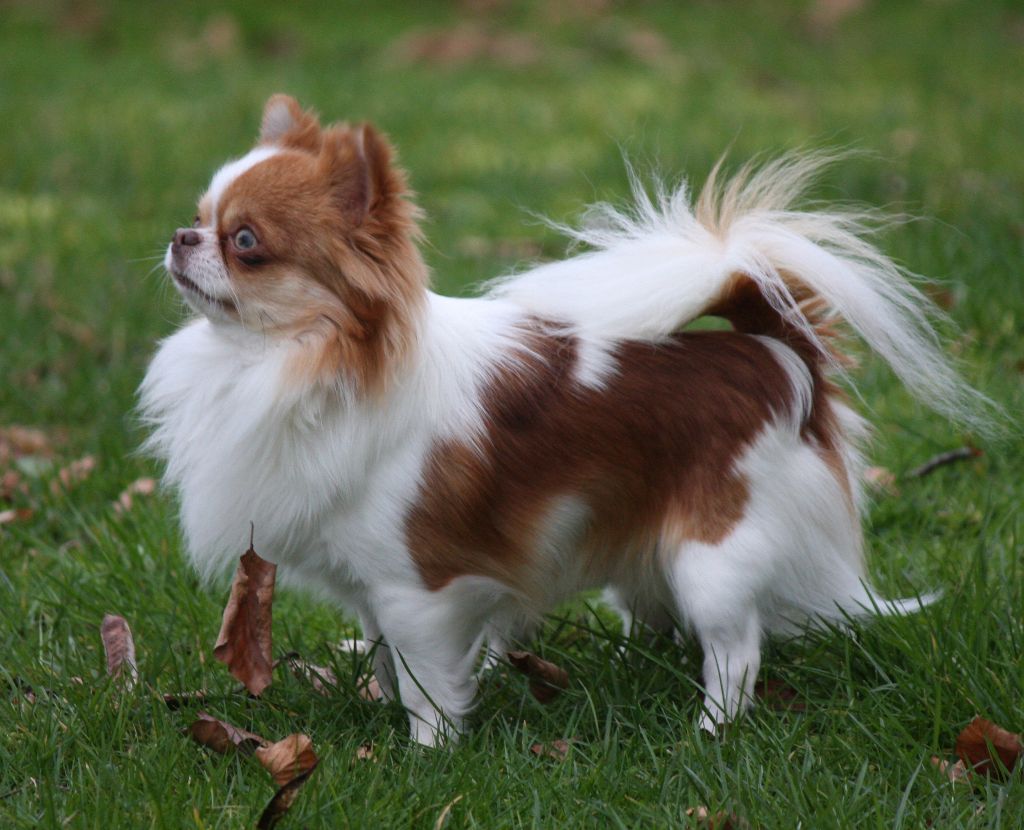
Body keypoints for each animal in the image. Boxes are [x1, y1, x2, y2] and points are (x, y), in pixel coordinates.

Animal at [138, 94, 983, 745]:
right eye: (198, 217)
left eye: (246, 242)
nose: (181, 237)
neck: (286, 363)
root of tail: (775, 355)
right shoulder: (373, 585)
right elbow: (385, 659)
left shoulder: (419, 588)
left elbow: (426, 682)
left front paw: (427, 756)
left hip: (713, 555)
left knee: (735, 652)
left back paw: (708, 734)